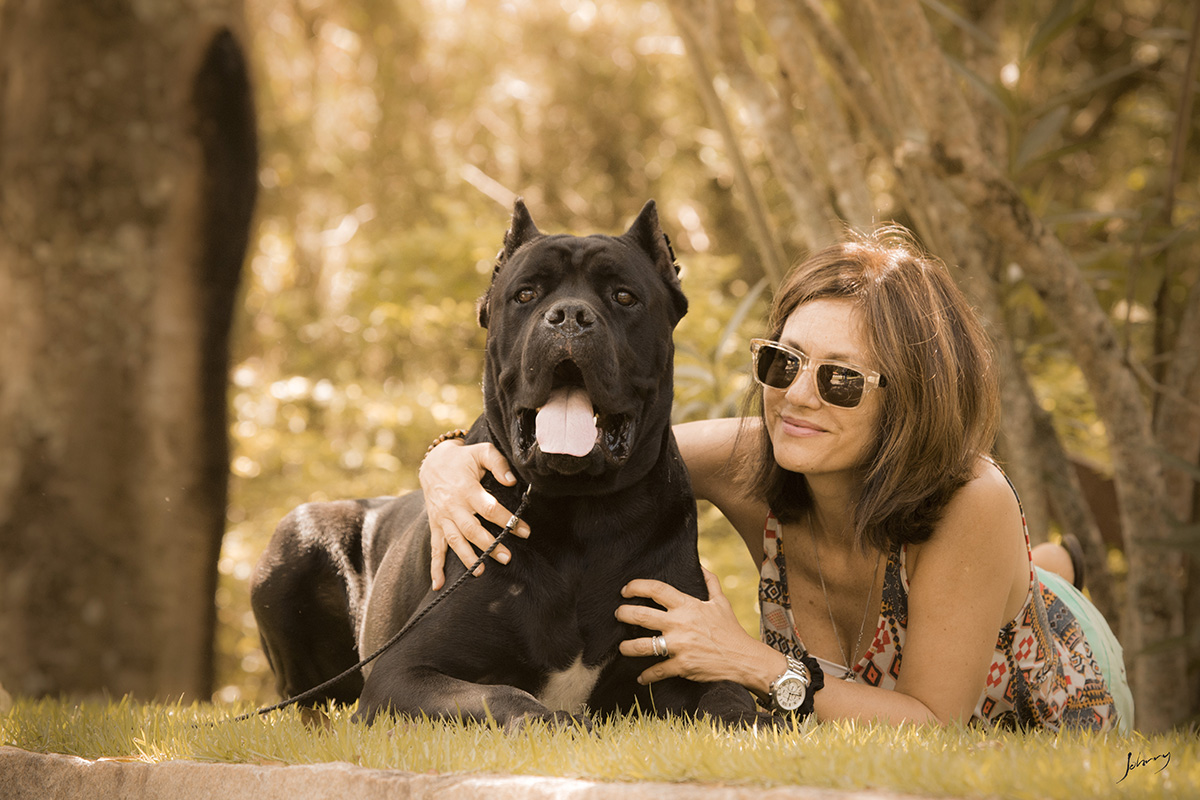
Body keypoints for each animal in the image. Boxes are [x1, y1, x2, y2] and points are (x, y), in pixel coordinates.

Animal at [250, 200, 759, 729]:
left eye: (624, 296)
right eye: (526, 294)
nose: (570, 315)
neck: (583, 517)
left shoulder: (681, 646)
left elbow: (729, 693)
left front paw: (754, 717)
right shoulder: (403, 672)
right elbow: (505, 697)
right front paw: (565, 721)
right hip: (296, 538)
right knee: (301, 702)